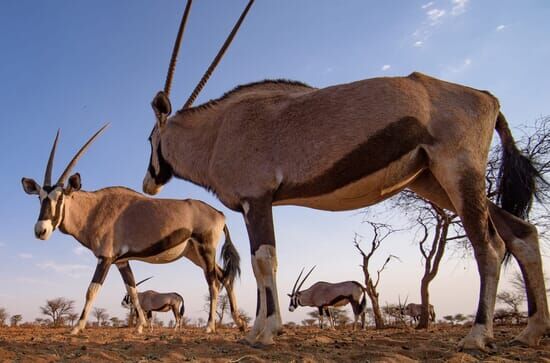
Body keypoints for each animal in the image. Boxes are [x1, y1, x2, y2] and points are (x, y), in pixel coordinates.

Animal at [21, 126, 245, 336]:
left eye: (60, 198)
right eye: (40, 197)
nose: (40, 230)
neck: (94, 208)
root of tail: (220, 214)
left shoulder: (105, 258)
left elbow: (92, 290)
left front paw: (77, 327)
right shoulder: (121, 261)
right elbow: (133, 289)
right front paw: (140, 327)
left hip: (206, 249)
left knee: (213, 282)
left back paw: (210, 326)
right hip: (194, 253)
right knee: (224, 276)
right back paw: (239, 322)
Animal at [142, 0, 550, 352]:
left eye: (150, 139)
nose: (149, 182)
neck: (218, 131)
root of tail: (486, 97)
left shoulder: (257, 199)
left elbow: (264, 261)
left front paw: (266, 332)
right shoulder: (249, 206)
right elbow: (260, 268)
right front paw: (254, 331)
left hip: (457, 173)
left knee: (490, 245)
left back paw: (478, 335)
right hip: (434, 182)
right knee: (521, 234)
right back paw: (530, 332)